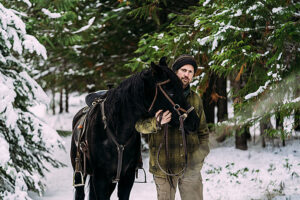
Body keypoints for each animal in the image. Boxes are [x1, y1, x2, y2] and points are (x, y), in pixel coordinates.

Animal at [71, 57, 199, 199]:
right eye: (170, 92)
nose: (195, 121)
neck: (117, 131)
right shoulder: (100, 179)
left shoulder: (127, 177)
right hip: (80, 174)